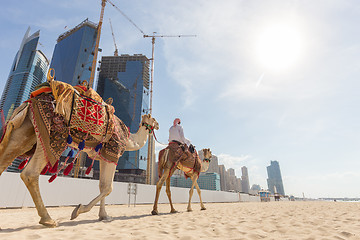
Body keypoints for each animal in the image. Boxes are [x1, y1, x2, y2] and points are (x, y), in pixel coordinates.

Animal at [0, 79, 159, 229]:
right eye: (154, 119)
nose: (157, 125)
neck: (130, 139)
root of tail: (32, 100)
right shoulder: (114, 152)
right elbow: (108, 188)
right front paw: (78, 210)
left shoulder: (104, 157)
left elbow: (103, 186)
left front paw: (104, 216)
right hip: (52, 135)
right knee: (30, 173)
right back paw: (48, 219)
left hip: (26, 131)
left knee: (6, 158)